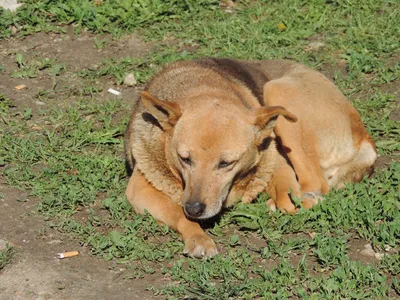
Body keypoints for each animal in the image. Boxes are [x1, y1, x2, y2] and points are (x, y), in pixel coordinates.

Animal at [123, 59, 376, 258]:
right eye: (184, 158)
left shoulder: (278, 162)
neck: (203, 87)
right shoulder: (139, 189)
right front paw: (198, 238)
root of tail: (365, 138)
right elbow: (177, 212)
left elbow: (287, 195)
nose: (194, 209)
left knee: (315, 184)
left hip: (277, 91)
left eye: (226, 163)